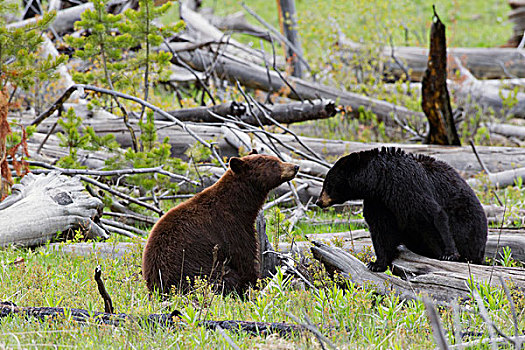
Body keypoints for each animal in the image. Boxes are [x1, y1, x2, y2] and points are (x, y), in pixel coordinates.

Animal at [142, 151, 298, 296]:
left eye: (277, 159)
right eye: (274, 163)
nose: (295, 166)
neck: (237, 206)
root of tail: (156, 286)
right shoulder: (230, 228)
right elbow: (243, 258)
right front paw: (254, 286)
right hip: (197, 270)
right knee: (226, 277)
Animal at [316, 146, 488, 272]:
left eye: (328, 184)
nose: (318, 201)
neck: (380, 181)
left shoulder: (406, 184)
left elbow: (433, 213)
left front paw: (448, 254)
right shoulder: (378, 201)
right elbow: (381, 229)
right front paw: (376, 263)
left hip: (467, 222)